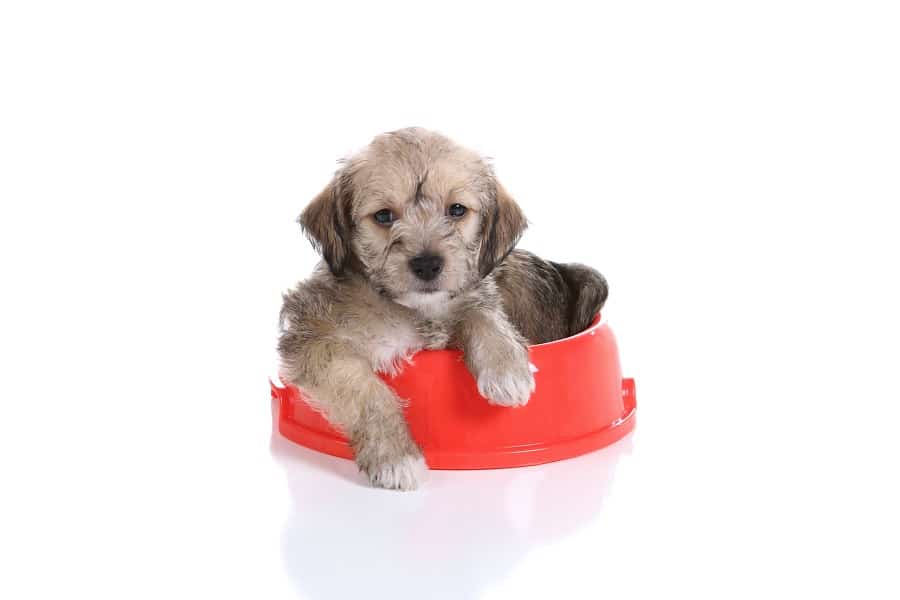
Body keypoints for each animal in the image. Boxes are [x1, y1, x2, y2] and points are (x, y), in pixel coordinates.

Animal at [278, 129, 608, 490]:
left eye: (457, 209)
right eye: (383, 216)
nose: (427, 264)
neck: (413, 310)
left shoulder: (474, 293)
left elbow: (482, 314)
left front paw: (506, 370)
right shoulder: (316, 339)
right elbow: (365, 390)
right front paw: (396, 456)